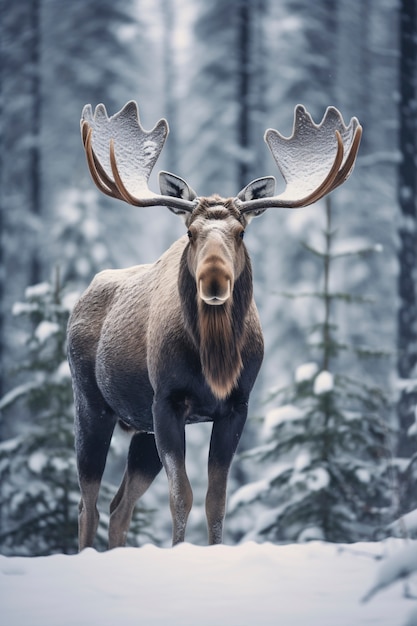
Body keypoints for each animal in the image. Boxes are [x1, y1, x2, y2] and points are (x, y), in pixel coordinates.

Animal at [66, 101, 360, 544]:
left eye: (241, 232)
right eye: (190, 232)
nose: (215, 280)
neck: (215, 359)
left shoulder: (235, 407)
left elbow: (216, 500)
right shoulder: (167, 402)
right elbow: (182, 496)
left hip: (141, 429)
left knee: (119, 507)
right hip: (91, 405)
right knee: (89, 505)